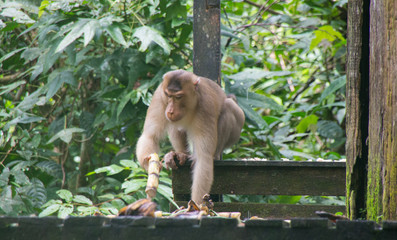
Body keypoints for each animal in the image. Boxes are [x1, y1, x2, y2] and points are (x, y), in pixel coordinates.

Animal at [135, 69, 243, 202]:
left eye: (178, 97)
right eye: (168, 95)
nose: (170, 110)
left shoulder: (205, 106)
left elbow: (204, 158)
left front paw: (196, 205)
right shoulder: (159, 96)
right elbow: (150, 136)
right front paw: (149, 164)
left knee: (228, 106)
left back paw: (215, 156)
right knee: (172, 123)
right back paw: (181, 154)